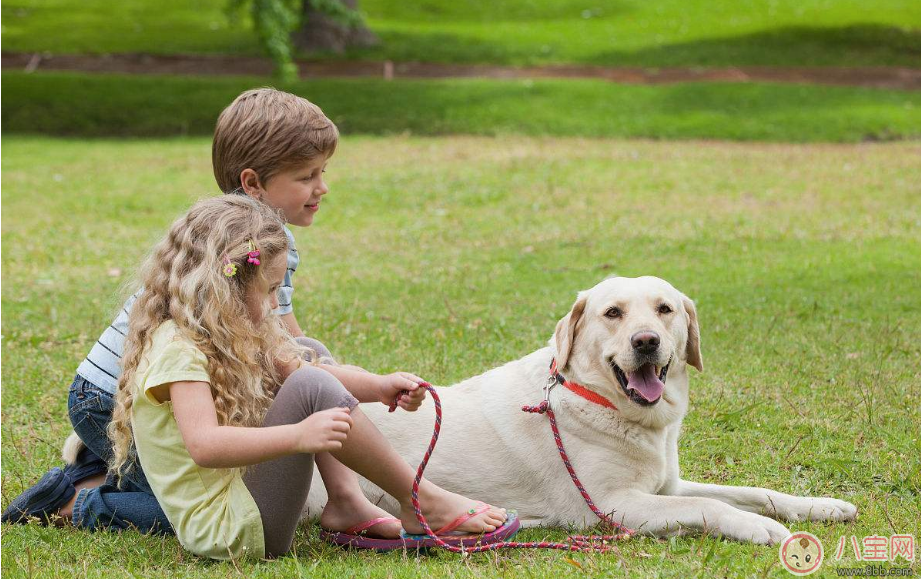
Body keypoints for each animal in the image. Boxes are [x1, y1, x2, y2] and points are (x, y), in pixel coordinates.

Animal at [304, 276, 856, 544]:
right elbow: (713, 506)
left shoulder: (666, 487)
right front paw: (761, 530)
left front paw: (821, 507)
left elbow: (754, 493)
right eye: (612, 313)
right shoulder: (616, 505)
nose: (646, 341)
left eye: (665, 309)